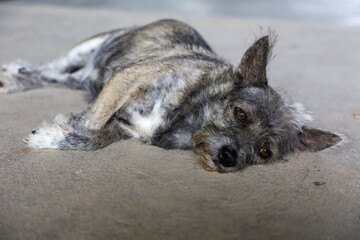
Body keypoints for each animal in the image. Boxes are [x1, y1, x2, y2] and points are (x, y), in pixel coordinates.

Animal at [1, 19, 342, 172]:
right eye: (241, 114)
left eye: (264, 152)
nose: (229, 157)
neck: (187, 118)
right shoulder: (126, 78)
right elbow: (93, 123)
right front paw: (56, 134)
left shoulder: (126, 127)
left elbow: (98, 137)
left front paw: (60, 134)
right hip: (87, 49)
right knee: (50, 66)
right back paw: (13, 75)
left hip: (80, 78)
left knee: (52, 76)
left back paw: (16, 80)